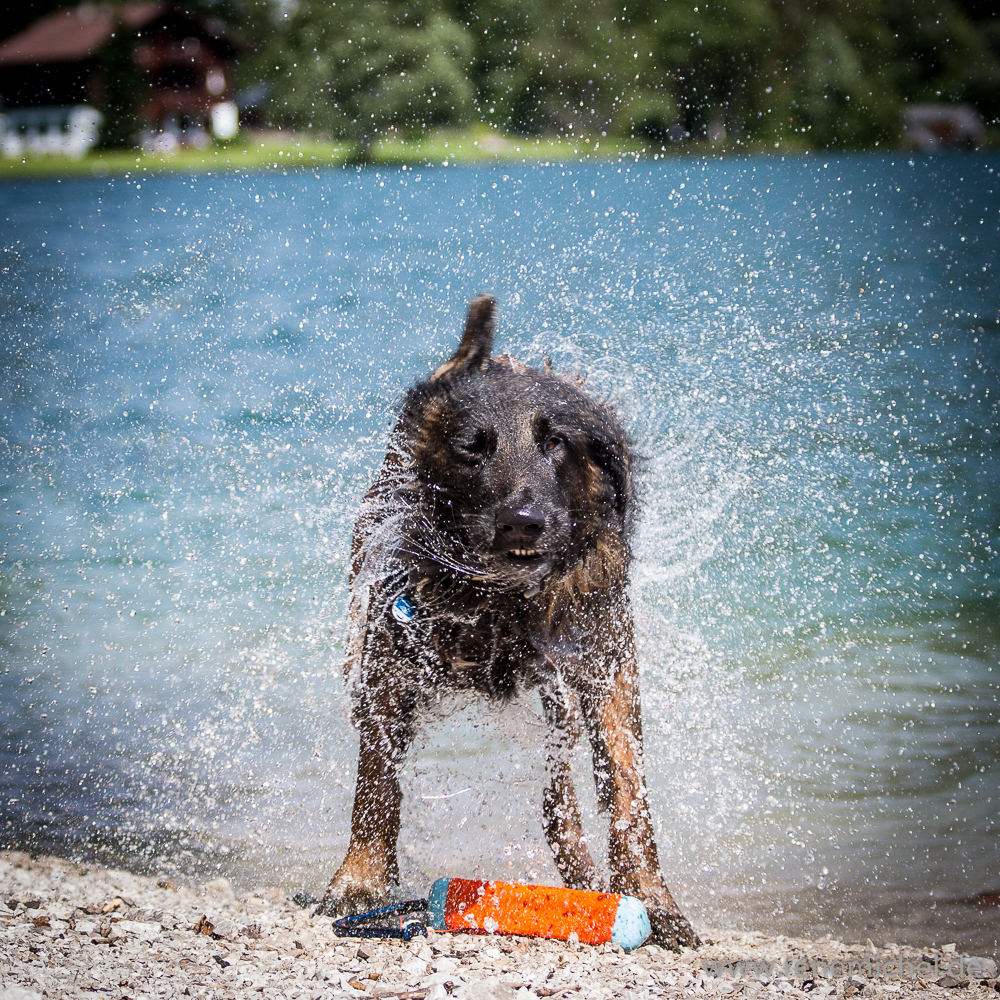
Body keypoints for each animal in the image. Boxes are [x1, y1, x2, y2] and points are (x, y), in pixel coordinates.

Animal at [324, 292, 700, 948]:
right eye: (473, 447)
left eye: (557, 444)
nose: (522, 521)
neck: (504, 599)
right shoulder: (389, 653)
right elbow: (377, 781)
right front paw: (361, 881)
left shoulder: (602, 663)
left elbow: (628, 794)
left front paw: (653, 900)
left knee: (560, 800)